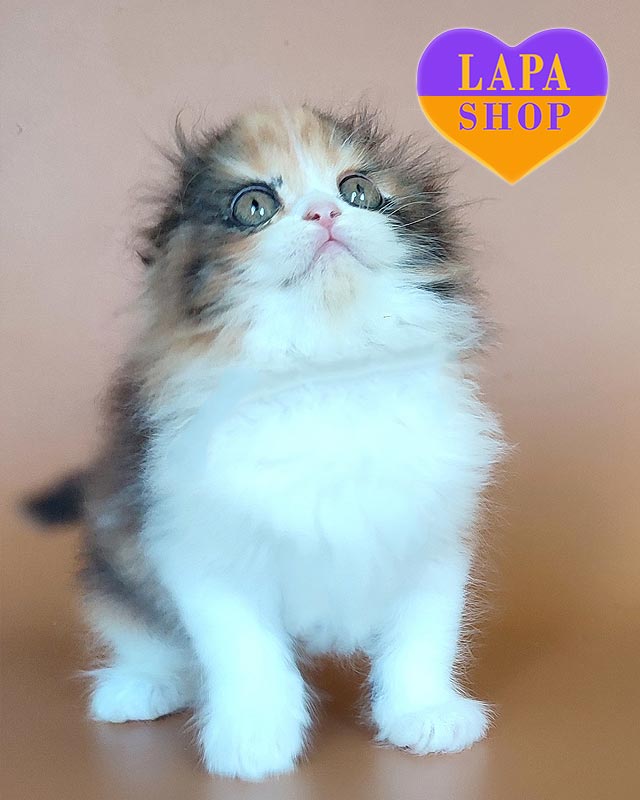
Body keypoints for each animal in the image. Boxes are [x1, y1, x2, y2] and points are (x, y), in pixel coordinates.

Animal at [26, 105, 503, 781]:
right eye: (254, 205)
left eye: (358, 190)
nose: (325, 213)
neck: (328, 372)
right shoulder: (197, 543)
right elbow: (245, 650)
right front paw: (254, 737)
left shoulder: (431, 533)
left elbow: (424, 632)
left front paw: (423, 712)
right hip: (116, 555)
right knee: (139, 629)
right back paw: (141, 687)